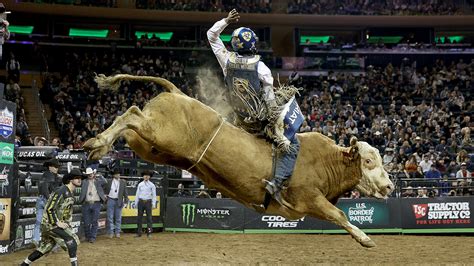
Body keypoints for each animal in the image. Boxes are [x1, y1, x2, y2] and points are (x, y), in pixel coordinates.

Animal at [84, 74, 392, 247]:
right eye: (368, 161)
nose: (389, 186)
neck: (329, 161)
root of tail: (177, 92)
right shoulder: (310, 197)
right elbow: (339, 215)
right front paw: (365, 239)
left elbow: (336, 215)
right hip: (161, 134)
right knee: (132, 112)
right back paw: (96, 144)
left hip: (150, 146)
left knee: (129, 122)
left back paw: (99, 145)